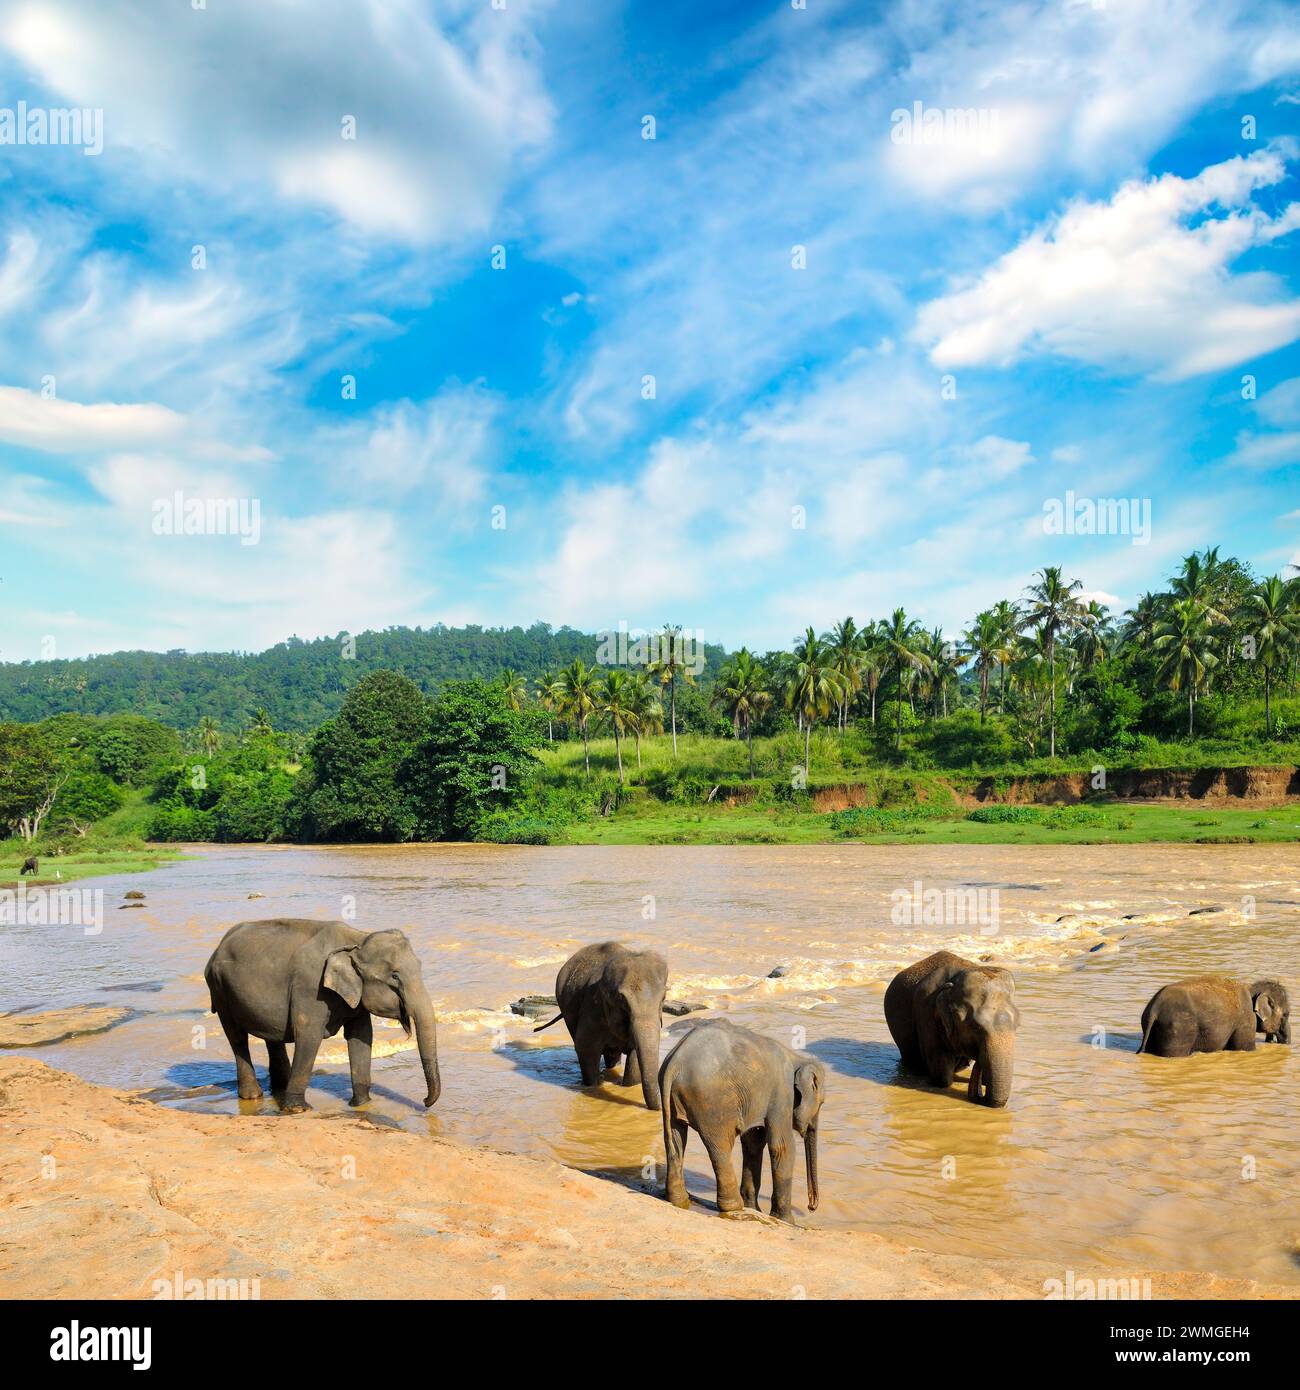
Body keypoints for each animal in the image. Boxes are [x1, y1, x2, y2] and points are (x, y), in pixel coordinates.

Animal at [202, 917, 442, 1112]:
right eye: (395, 976)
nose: (424, 1101)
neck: (358, 938)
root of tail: (218, 946)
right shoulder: (311, 988)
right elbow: (309, 1034)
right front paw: (298, 1109)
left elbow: (361, 1036)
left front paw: (362, 1104)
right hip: (220, 990)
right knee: (237, 1037)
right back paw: (253, 1095)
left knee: (272, 1036)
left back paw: (279, 1089)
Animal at [533, 939, 664, 1112]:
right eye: (621, 1000)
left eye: (664, 998)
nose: (659, 1108)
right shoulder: (593, 1008)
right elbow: (585, 1048)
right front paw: (594, 1085)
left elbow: (635, 1054)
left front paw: (626, 1084)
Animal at [656, 1017, 828, 1223]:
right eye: (822, 1103)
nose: (811, 1206)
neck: (797, 1058)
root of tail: (674, 1062)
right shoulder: (782, 1094)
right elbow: (781, 1147)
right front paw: (786, 1221)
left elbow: (753, 1142)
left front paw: (755, 1209)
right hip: (713, 1102)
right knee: (721, 1146)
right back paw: (733, 1206)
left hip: (674, 1099)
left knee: (676, 1139)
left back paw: (679, 1200)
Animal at [1140, 973, 1290, 1056]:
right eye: (1285, 1015)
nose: (1272, 1039)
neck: (1252, 988)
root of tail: (1155, 1007)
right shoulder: (1246, 1018)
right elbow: (1245, 1048)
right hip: (1179, 1029)